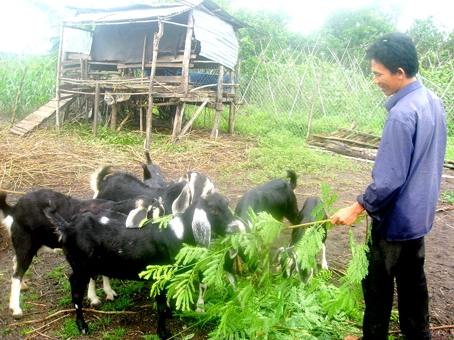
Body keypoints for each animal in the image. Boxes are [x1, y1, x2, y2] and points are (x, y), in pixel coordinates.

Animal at [0, 190, 160, 318]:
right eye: (152, 214)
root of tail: (14, 208)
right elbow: (93, 275)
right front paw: (94, 298)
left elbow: (104, 273)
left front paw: (108, 292)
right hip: (25, 241)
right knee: (17, 274)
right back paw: (16, 308)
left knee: (15, 262)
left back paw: (23, 286)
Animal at [44, 193, 247, 338]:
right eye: (213, 210)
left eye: (226, 204)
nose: (239, 227)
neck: (177, 234)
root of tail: (67, 226)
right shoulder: (161, 275)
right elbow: (161, 306)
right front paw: (163, 333)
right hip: (80, 266)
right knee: (75, 290)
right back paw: (82, 325)